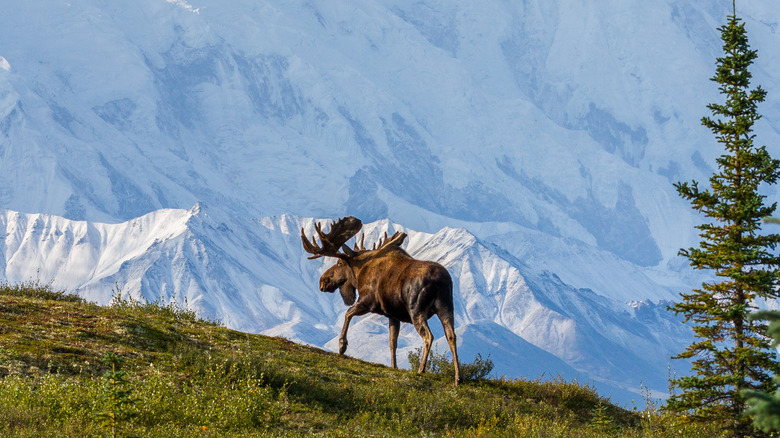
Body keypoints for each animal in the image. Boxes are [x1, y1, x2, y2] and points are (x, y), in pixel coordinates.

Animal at [304, 217, 464, 384]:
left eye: (339, 263)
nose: (323, 281)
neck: (358, 274)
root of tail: (440, 281)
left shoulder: (367, 301)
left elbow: (348, 314)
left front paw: (342, 346)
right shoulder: (393, 315)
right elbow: (392, 342)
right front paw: (394, 366)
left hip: (416, 309)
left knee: (428, 336)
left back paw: (421, 370)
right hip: (446, 307)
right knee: (451, 335)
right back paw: (458, 378)